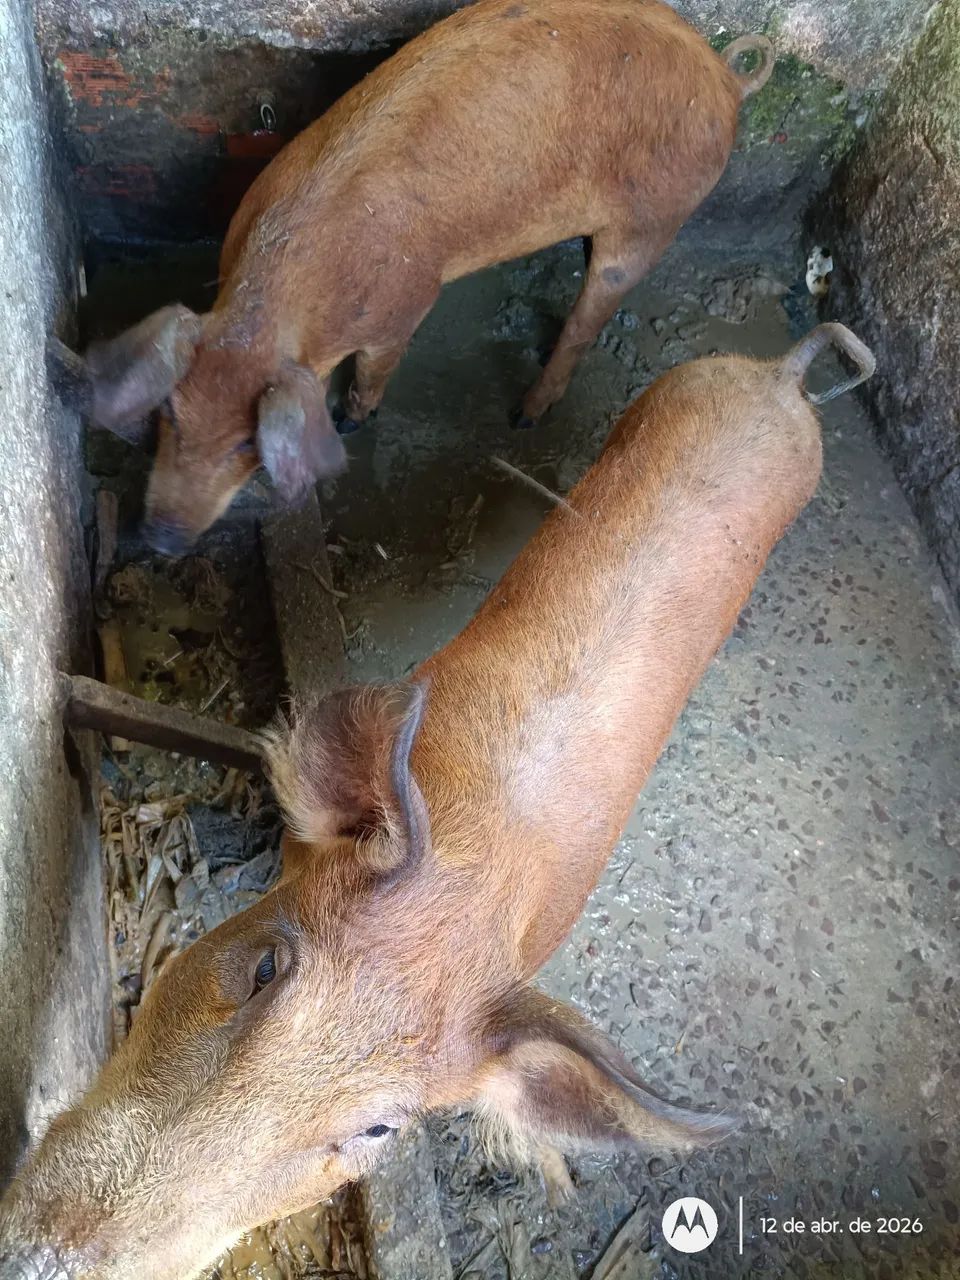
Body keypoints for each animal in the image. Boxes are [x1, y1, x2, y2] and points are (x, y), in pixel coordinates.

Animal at [0, 323, 874, 1280]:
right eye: (266, 967)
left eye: (380, 1127)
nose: (43, 1260)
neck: (472, 872)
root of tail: (781, 377)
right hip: (666, 397)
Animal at [51, 0, 775, 556]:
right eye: (170, 414)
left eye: (244, 446)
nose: (159, 541)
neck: (298, 297)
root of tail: (727, 78)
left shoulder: (407, 302)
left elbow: (375, 373)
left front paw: (349, 423)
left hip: (655, 220)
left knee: (592, 312)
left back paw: (524, 416)